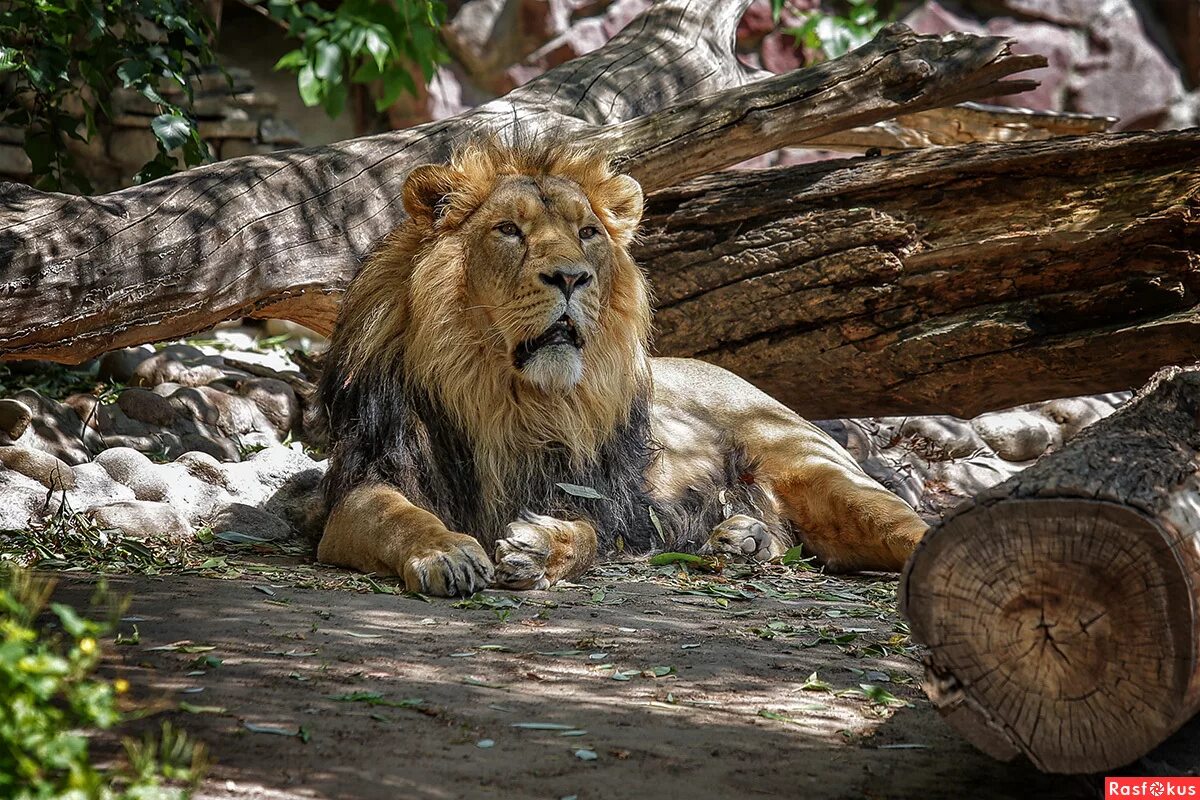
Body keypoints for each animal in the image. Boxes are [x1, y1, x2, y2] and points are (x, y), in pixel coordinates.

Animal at [316, 140, 926, 597]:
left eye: (587, 233)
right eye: (509, 230)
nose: (570, 277)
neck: (509, 397)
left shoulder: (605, 499)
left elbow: (589, 533)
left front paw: (541, 547)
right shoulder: (358, 483)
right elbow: (394, 515)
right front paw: (445, 552)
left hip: (821, 470)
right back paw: (740, 538)